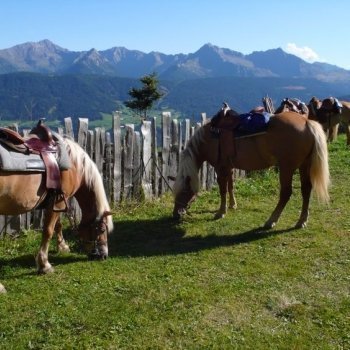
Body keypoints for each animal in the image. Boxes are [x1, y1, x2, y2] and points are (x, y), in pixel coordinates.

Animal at [0, 121, 112, 294]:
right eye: (101, 229)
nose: (104, 255)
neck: (74, 164)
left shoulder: (56, 201)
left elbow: (58, 224)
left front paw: (63, 246)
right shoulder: (58, 202)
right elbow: (48, 231)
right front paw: (44, 265)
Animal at [174, 104, 330, 230]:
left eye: (184, 191)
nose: (176, 213)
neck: (209, 138)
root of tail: (307, 122)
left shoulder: (221, 167)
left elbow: (222, 190)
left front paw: (221, 212)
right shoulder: (229, 167)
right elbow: (231, 186)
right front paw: (232, 205)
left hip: (287, 168)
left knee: (286, 193)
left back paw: (271, 221)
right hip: (304, 165)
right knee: (306, 190)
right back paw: (301, 221)